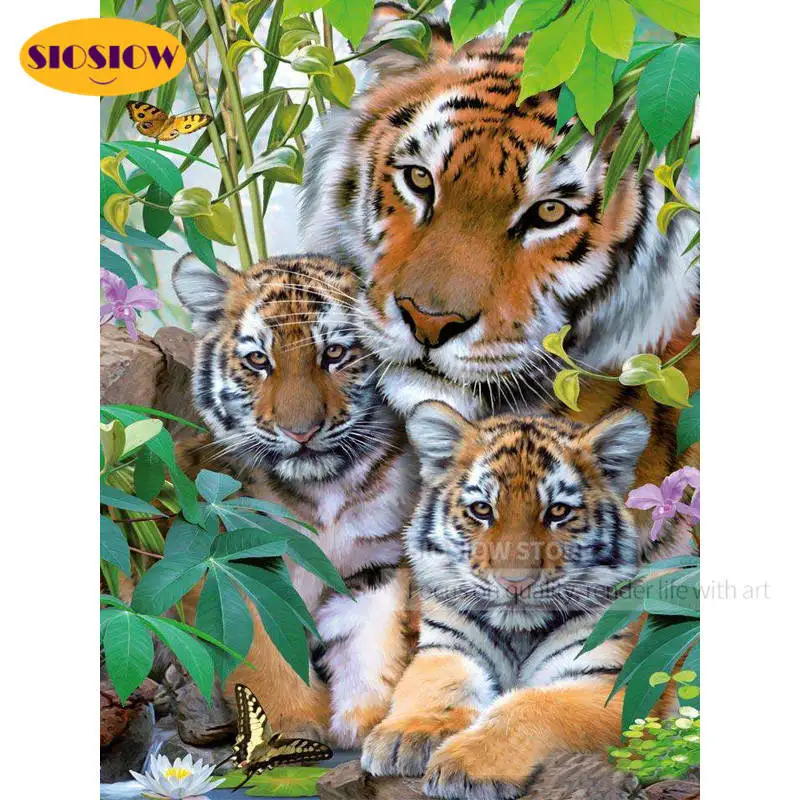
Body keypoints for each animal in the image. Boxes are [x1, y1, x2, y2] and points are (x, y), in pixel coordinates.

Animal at [172, 253, 420, 747]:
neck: (323, 489)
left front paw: (363, 719)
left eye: (336, 354)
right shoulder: (238, 569)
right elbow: (264, 651)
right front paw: (294, 725)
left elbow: (369, 638)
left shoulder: (377, 563)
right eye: (258, 360)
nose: (301, 432)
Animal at [362, 400, 663, 799]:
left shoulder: (612, 685)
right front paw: (405, 737)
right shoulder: (446, 646)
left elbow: (532, 704)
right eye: (482, 510)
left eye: (558, 512)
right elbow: (438, 684)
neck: (519, 633)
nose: (515, 583)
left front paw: (468, 765)